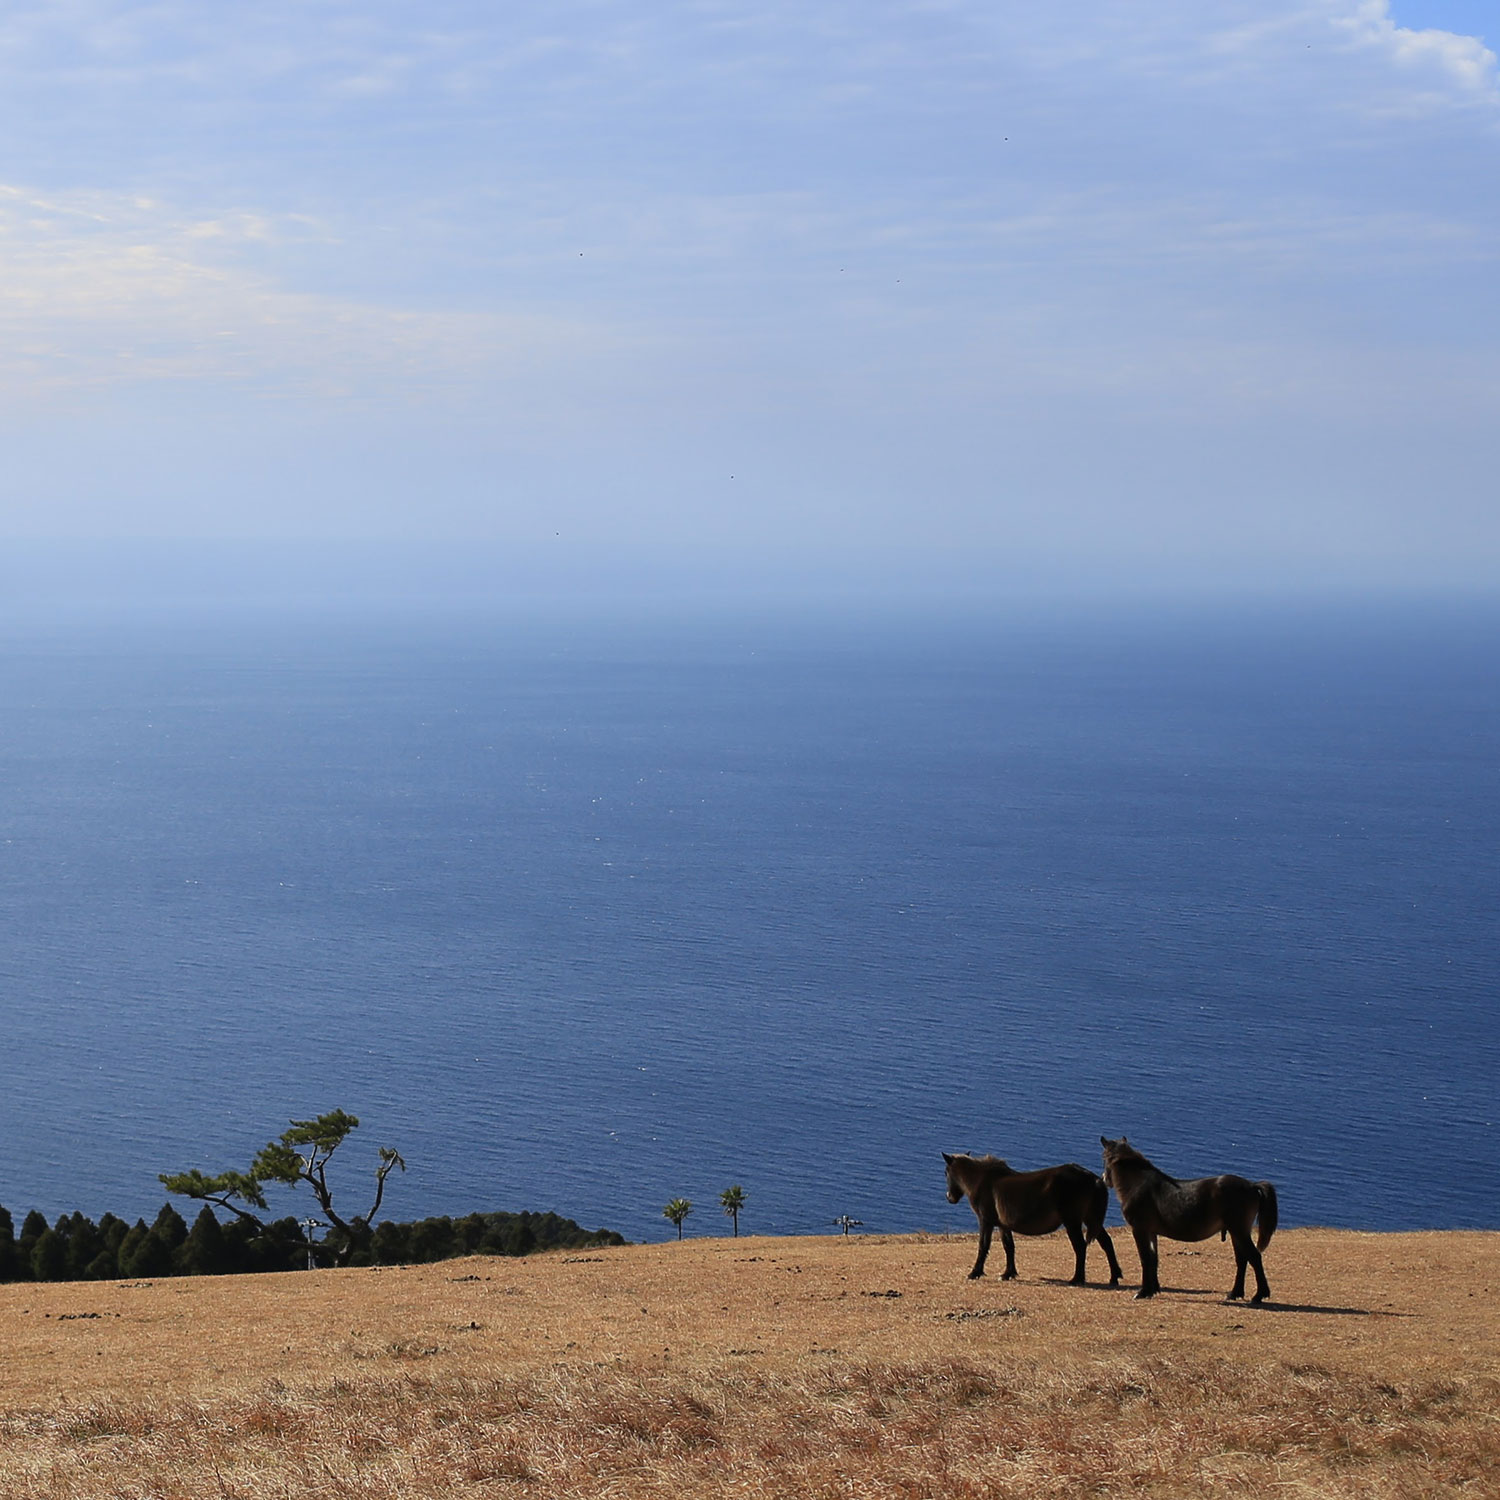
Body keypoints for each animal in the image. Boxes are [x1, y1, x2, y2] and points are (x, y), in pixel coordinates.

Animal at [942, 1152, 1122, 1284]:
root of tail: (1094, 1179)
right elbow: (1009, 1246)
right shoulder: (1003, 1225)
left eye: (946, 1173)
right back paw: (1114, 1277)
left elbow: (983, 1246)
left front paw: (974, 1273)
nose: (950, 1197)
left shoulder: (986, 1221)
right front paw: (1008, 1273)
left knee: (1080, 1247)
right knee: (1106, 1243)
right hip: (1090, 1219)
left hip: (1073, 1222)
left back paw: (1077, 1278)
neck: (982, 1181)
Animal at [1104, 1134, 1278, 1302]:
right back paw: (1235, 1293)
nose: (1105, 1179)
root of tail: (1253, 1185)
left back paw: (1259, 1295)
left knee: (1254, 1257)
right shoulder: (1151, 1232)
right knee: (1242, 1260)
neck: (1138, 1185)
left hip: (1239, 1231)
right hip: (1236, 1232)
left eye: (1104, 1157)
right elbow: (1153, 1259)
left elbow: (1145, 1258)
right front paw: (1152, 1290)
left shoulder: (1139, 1229)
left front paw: (1143, 1292)